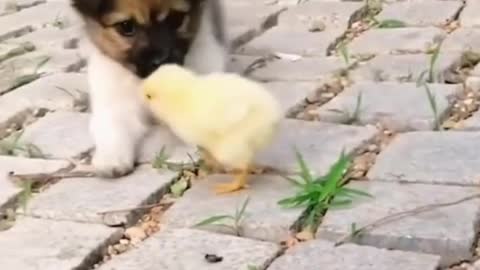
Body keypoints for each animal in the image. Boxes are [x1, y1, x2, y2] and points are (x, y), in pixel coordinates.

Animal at [71, 0, 229, 177]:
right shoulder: (114, 97)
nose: (162, 60)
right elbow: (113, 126)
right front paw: (111, 158)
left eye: (176, 18)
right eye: (126, 26)